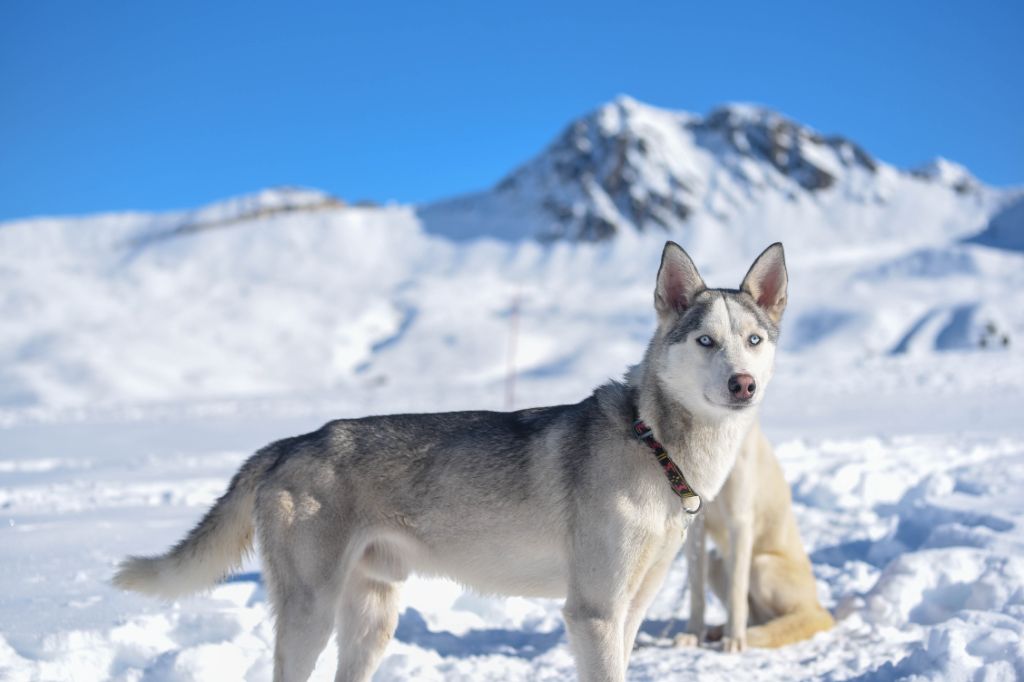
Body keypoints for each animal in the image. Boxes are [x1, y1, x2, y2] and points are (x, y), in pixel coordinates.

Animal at [112, 241, 786, 675]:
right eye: (706, 341)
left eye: (753, 340)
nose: (744, 384)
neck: (654, 445)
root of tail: (290, 442)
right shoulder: (592, 613)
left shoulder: (631, 612)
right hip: (311, 613)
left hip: (372, 620)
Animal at [675, 421, 835, 651]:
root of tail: (817, 606)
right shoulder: (696, 524)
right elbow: (697, 592)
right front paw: (693, 635)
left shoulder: (740, 520)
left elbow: (736, 592)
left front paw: (734, 639)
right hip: (715, 563)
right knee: (757, 618)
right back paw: (719, 631)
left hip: (762, 565)